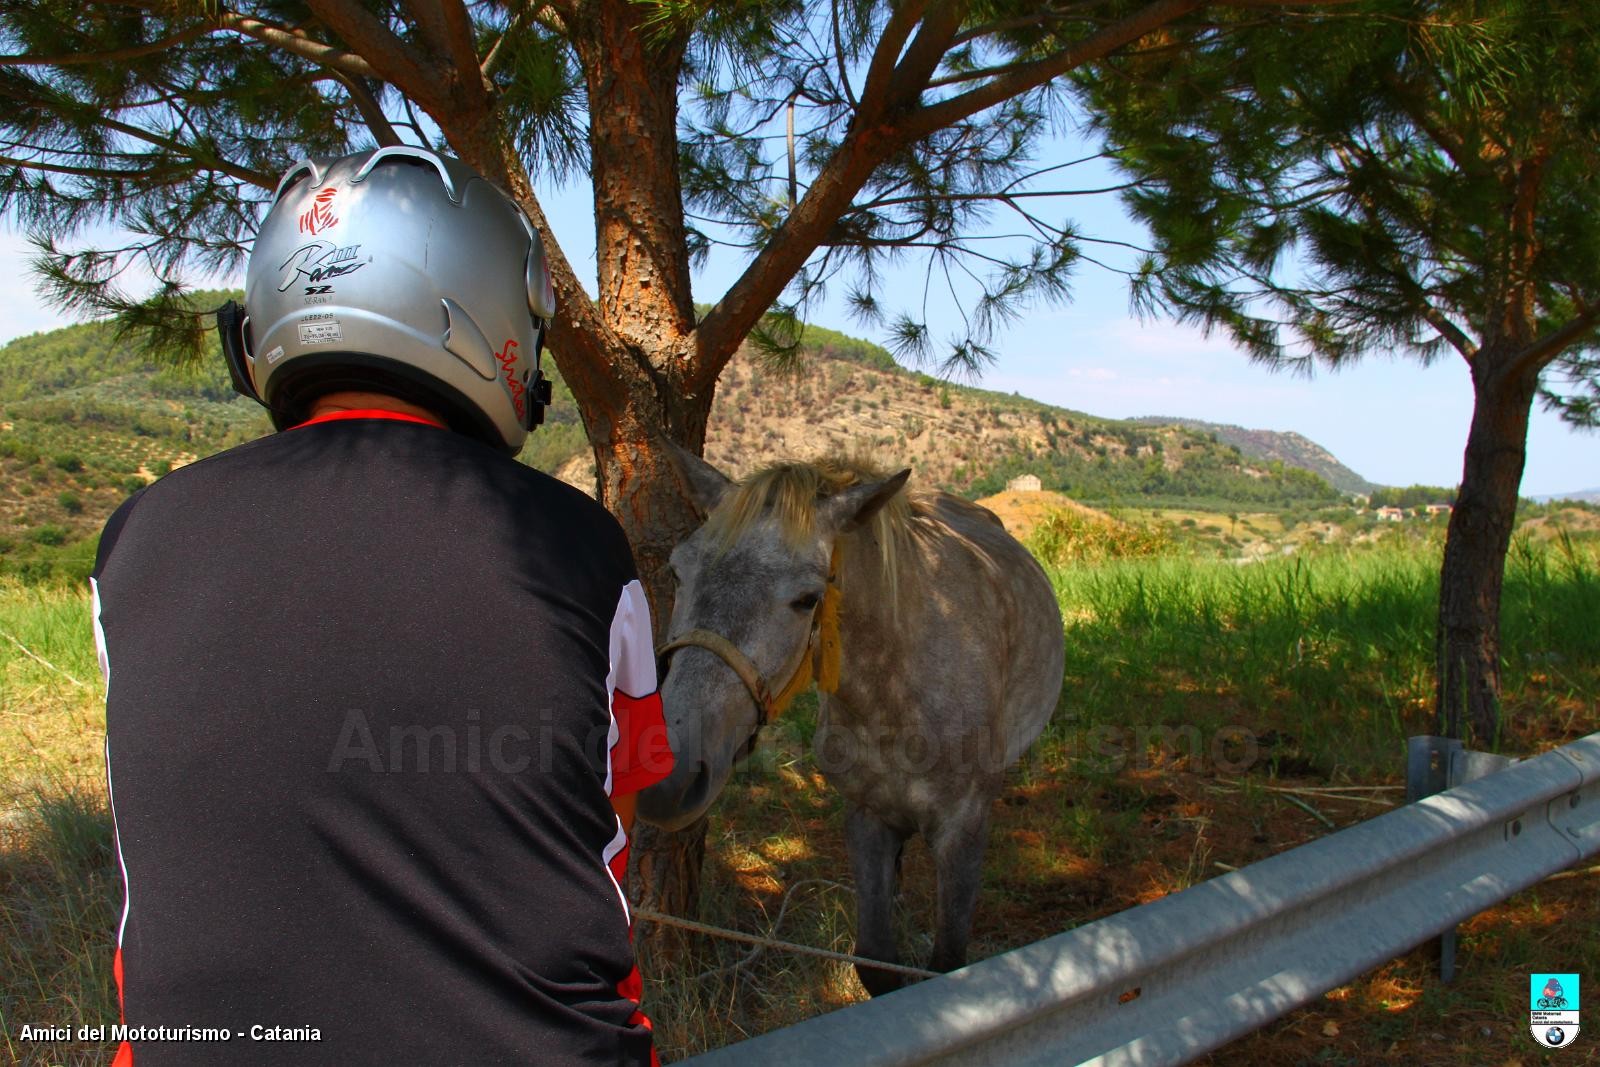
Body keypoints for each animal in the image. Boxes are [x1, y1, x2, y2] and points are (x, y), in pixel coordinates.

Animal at [633, 447, 1062, 998]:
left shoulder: (961, 829)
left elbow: (945, 964)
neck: (896, 697)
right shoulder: (866, 817)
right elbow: (876, 962)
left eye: (807, 599)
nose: (666, 778)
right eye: (677, 572)